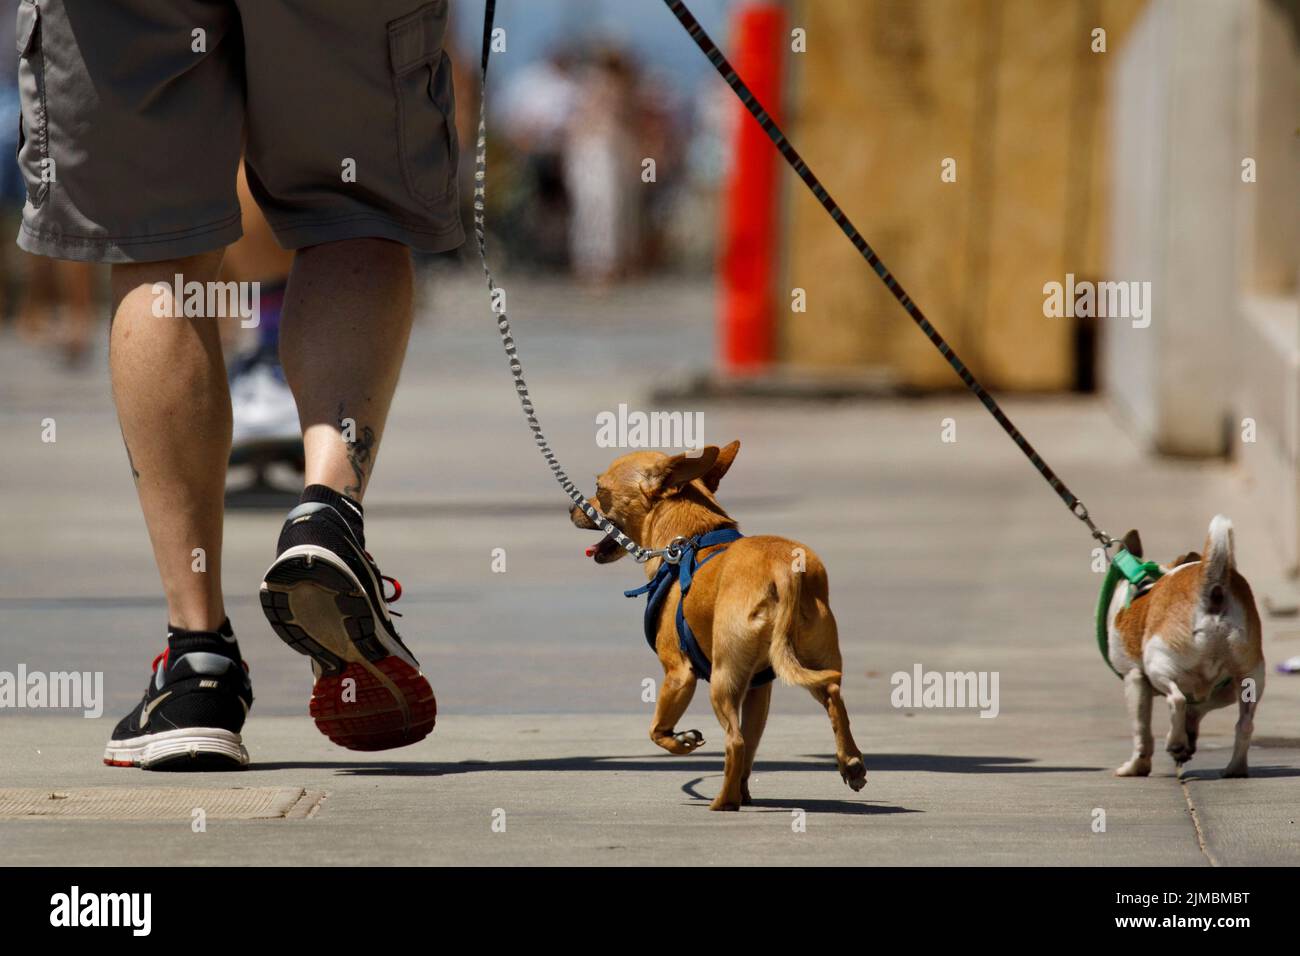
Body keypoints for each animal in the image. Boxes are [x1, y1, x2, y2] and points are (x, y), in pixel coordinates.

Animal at [1102, 515, 1263, 780]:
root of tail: (1213, 587)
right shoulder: (1221, 690)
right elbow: (1195, 709)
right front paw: (1187, 740)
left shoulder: (1135, 678)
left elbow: (1141, 730)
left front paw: (1137, 766)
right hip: (1250, 676)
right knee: (1244, 724)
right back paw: (1235, 768)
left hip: (1158, 664)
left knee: (1175, 698)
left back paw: (1175, 741)